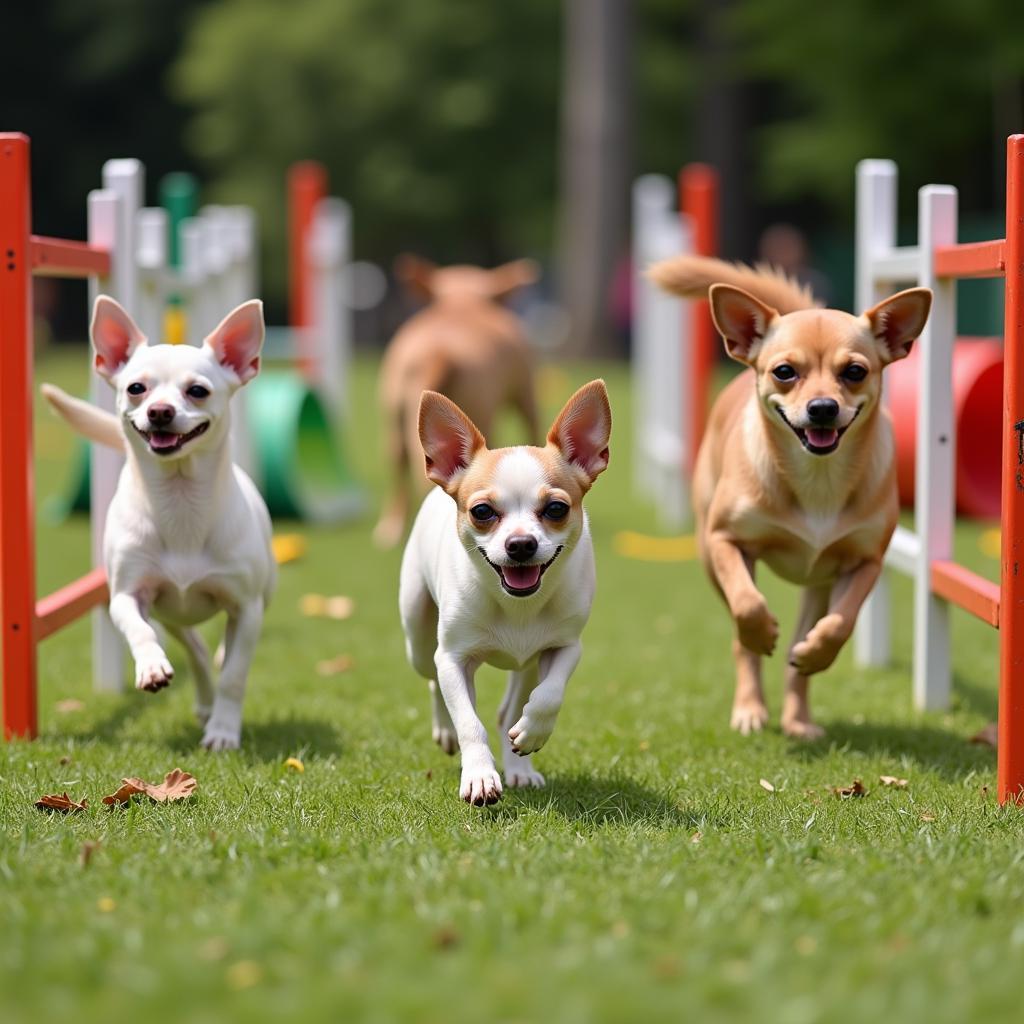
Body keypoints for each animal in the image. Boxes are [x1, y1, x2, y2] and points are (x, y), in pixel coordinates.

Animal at [372, 256, 540, 548]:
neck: (462, 303)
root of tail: (440, 351)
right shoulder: (524, 391)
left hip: (395, 420)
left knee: (400, 466)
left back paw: (392, 529)